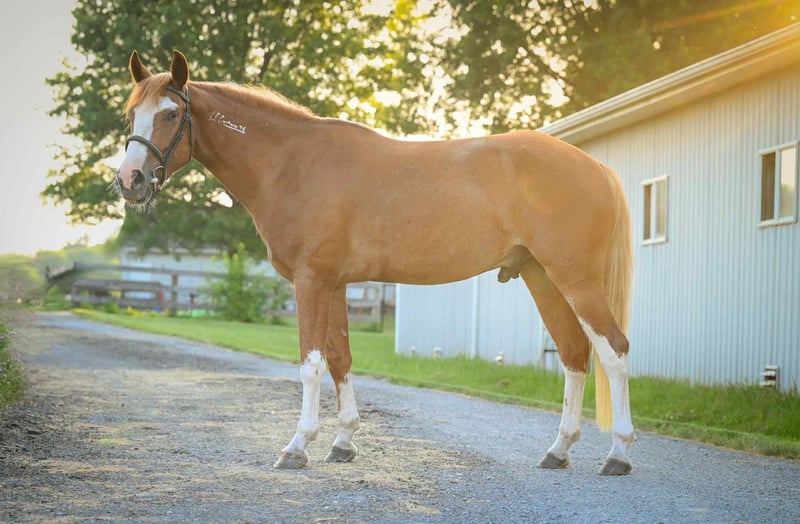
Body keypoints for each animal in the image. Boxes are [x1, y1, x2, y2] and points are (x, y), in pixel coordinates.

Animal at [114, 50, 635, 475]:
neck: (293, 164)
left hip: (575, 279)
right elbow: (341, 357)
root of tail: (598, 167)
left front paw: (297, 447)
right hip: (540, 276)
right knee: (574, 354)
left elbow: (311, 364)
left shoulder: (311, 282)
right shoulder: (336, 284)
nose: (130, 180)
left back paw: (618, 454)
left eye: (171, 113)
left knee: (613, 350)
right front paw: (343, 442)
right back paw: (558, 451)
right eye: (131, 115)